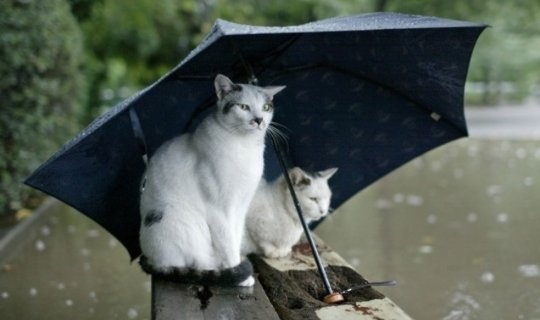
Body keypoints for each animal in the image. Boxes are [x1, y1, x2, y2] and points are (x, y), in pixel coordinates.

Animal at [138, 75, 286, 288]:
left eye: (266, 107)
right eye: (243, 107)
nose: (259, 120)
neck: (245, 146)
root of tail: (150, 259)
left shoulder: (241, 207)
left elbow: (235, 237)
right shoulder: (219, 210)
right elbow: (228, 244)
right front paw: (239, 273)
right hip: (181, 220)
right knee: (195, 262)